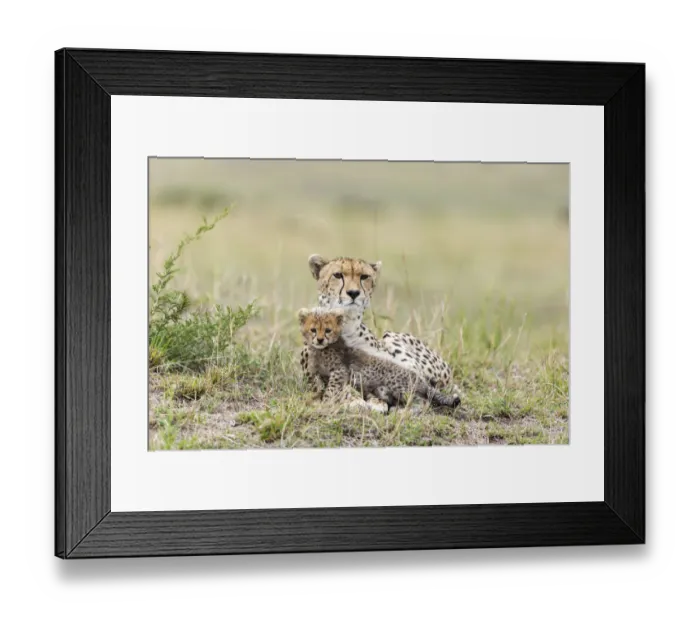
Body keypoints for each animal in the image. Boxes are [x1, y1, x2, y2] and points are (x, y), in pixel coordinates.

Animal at [298, 307, 460, 409]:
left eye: (328, 330)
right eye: (313, 330)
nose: (319, 340)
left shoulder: (339, 371)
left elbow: (333, 389)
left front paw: (327, 401)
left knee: (422, 399)